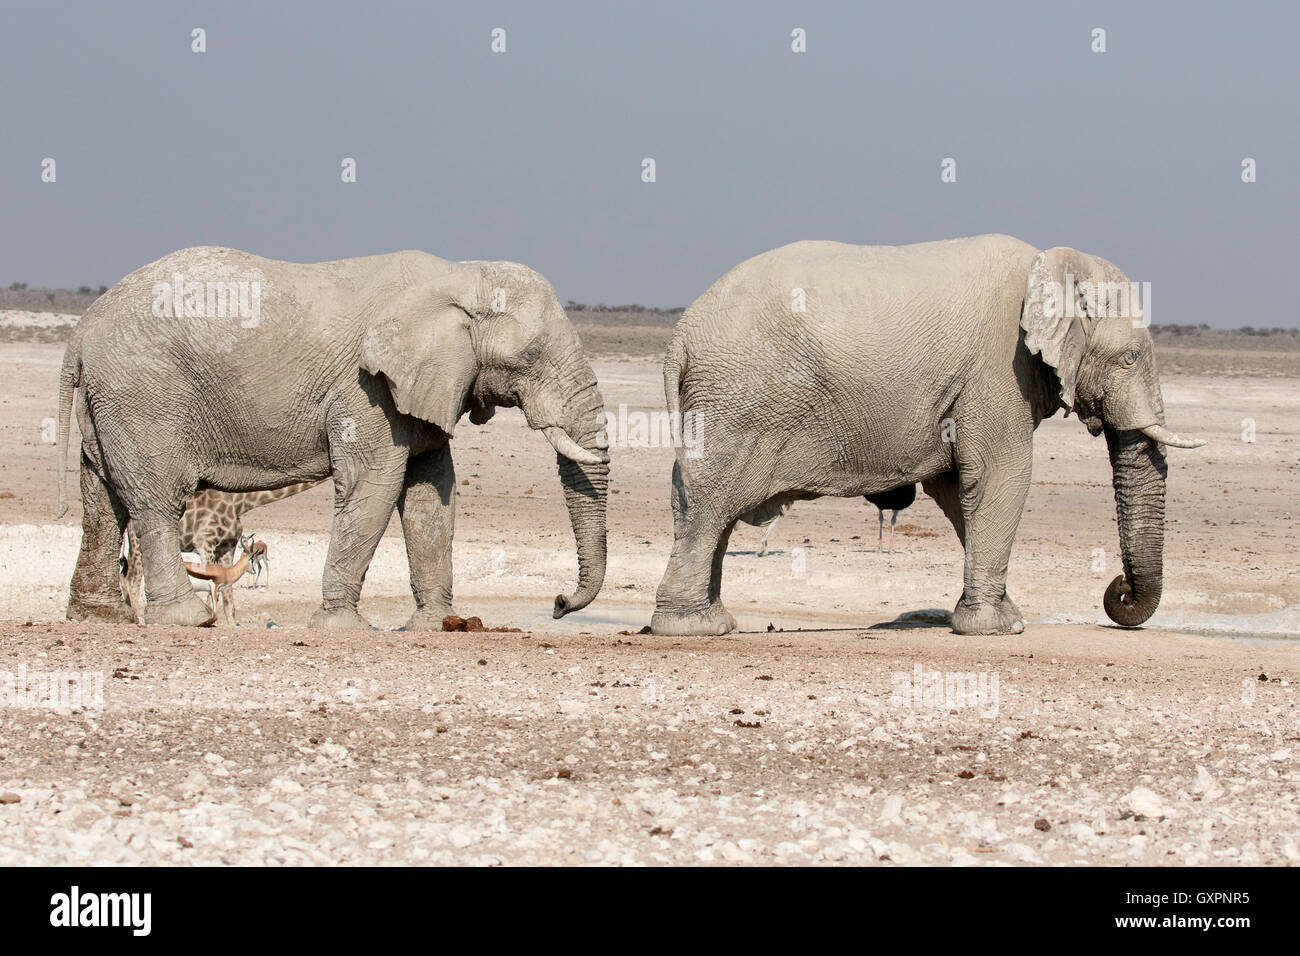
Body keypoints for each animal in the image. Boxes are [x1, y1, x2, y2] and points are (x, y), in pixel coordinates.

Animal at [120, 481, 323, 624]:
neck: (239, 503)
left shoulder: (228, 548)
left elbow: (229, 599)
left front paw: (232, 625)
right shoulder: (205, 544)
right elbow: (212, 592)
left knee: (124, 576)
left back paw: (130, 613)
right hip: (139, 544)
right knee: (132, 579)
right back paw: (139, 618)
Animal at [650, 231, 1206, 634]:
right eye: (1130, 357)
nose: (1120, 592)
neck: (1051, 266)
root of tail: (681, 335)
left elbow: (960, 489)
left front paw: (1003, 615)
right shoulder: (998, 370)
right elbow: (998, 477)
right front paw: (998, 628)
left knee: (705, 505)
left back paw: (713, 620)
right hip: (740, 399)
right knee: (710, 504)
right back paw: (694, 628)